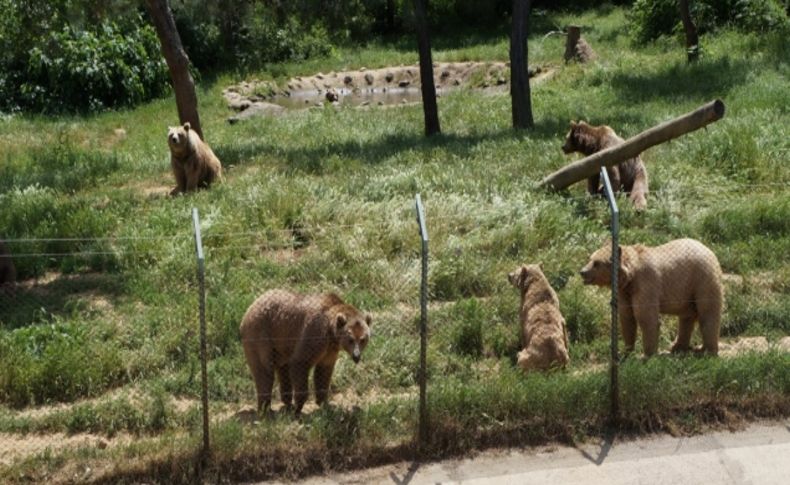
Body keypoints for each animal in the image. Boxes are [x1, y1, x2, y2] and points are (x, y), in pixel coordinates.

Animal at [238, 290, 374, 414]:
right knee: (264, 370)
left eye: (363, 339)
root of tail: (251, 306)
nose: (356, 356)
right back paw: (265, 408)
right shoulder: (315, 333)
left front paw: (325, 404)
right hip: (261, 332)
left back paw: (286, 403)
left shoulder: (329, 350)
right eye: (350, 339)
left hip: (281, 343)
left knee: (283, 370)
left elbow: (323, 372)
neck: (331, 334)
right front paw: (299, 407)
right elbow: (300, 362)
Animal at [540, 99, 728, 192]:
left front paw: (596, 192)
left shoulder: (604, 155)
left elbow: (606, 177)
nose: (562, 147)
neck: (593, 144)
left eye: (566, 138)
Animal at [580, 238, 724, 356]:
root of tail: (709, 249)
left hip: (702, 279)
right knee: (687, 316)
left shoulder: (646, 284)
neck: (630, 277)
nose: (582, 272)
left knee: (708, 311)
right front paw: (626, 352)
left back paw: (706, 350)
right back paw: (677, 347)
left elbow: (646, 317)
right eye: (590, 258)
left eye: (597, 263)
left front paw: (648, 355)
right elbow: (627, 317)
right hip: (687, 289)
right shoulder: (624, 292)